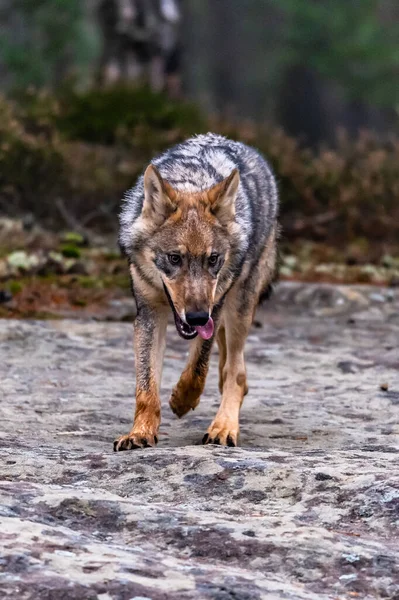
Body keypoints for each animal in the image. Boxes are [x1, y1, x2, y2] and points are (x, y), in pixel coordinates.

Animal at [115, 132, 278, 450]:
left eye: (212, 259)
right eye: (174, 258)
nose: (197, 318)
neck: (193, 182)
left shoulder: (215, 306)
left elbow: (197, 367)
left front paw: (181, 400)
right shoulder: (148, 313)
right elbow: (146, 385)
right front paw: (140, 432)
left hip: (239, 305)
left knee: (236, 373)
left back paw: (224, 428)